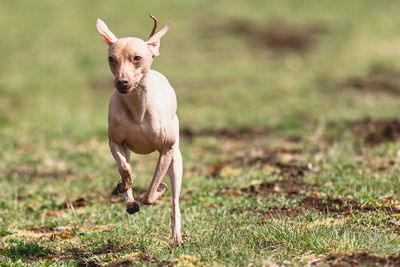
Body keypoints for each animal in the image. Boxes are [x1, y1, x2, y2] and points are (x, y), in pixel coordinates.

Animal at [95, 14, 183, 245]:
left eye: (137, 58)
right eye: (111, 59)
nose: (122, 82)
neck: (137, 106)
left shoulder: (166, 150)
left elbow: (151, 193)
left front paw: (157, 190)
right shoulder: (116, 142)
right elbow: (125, 168)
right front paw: (124, 187)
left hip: (176, 159)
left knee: (175, 201)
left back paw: (176, 235)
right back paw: (128, 197)